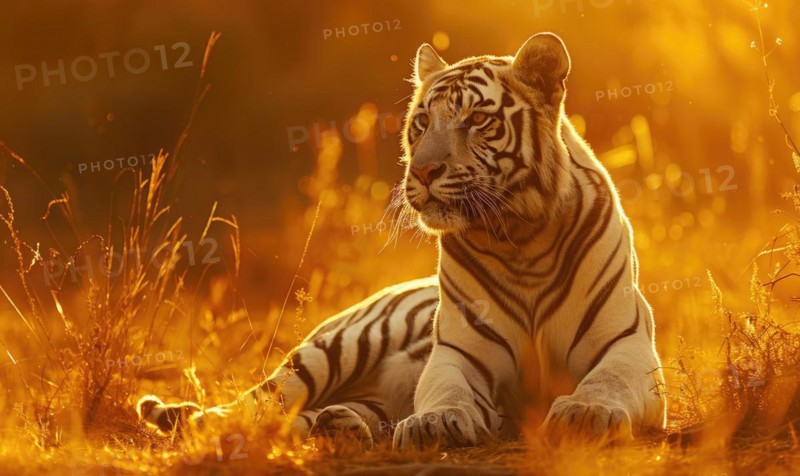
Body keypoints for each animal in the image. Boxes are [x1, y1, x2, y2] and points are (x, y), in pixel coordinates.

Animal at [139, 32, 666, 449]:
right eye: (421, 123)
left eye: (477, 120)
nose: (424, 171)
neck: (520, 239)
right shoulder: (459, 354)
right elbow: (447, 390)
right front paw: (436, 422)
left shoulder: (626, 346)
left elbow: (606, 382)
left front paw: (586, 412)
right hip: (334, 350)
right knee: (257, 406)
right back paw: (217, 426)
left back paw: (341, 425)